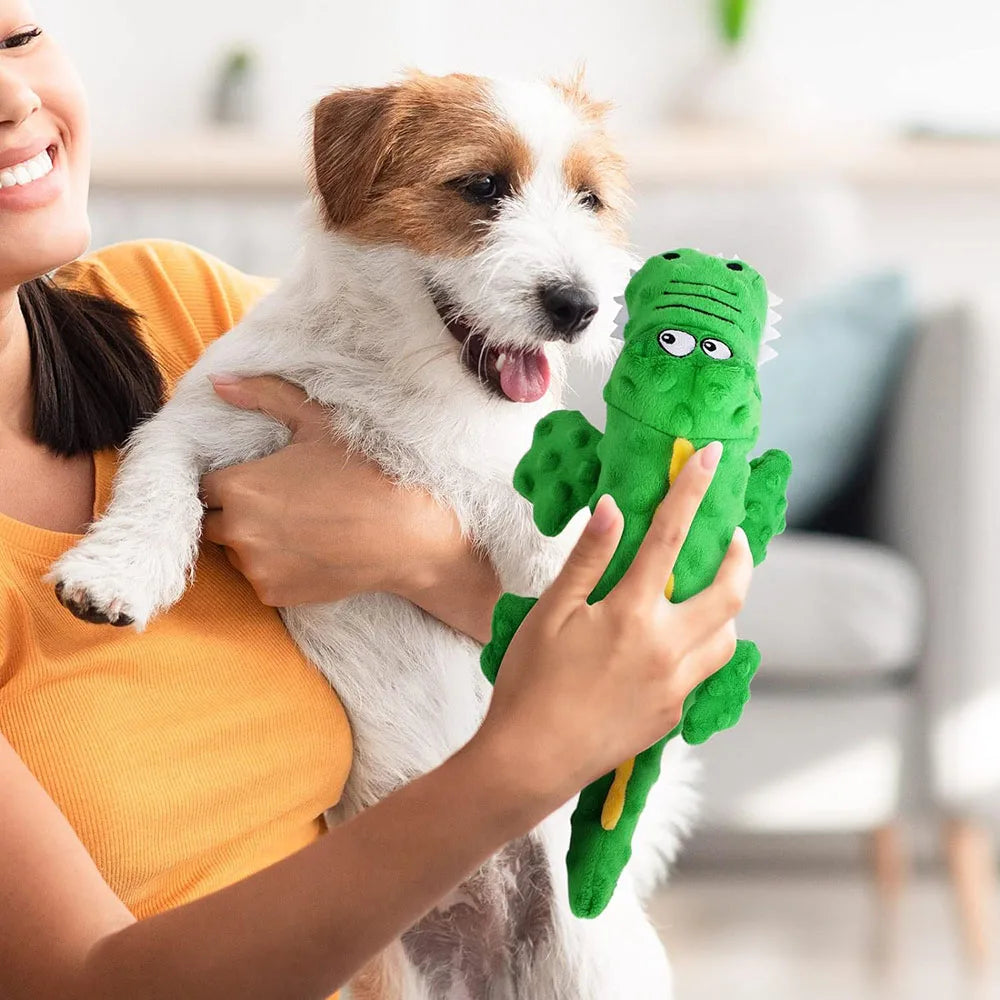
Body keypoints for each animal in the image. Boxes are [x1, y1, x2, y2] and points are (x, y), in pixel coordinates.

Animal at [50, 72, 700, 1000]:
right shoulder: (208, 418)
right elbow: (157, 481)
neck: (405, 385)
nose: (578, 307)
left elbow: (558, 533)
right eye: (482, 186)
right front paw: (117, 574)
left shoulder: (512, 476)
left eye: (589, 199)